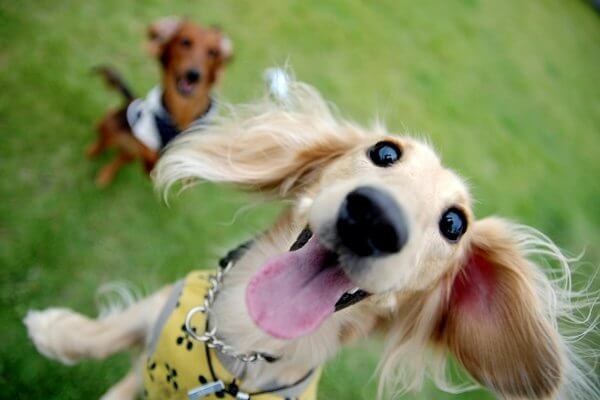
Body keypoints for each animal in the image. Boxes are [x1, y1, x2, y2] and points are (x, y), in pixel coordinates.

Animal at [22, 70, 596, 398]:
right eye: (384, 151)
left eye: (454, 223)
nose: (374, 217)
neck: (242, 347)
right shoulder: (164, 311)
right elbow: (112, 330)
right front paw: (59, 332)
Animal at [89, 17, 232, 188]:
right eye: (185, 42)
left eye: (212, 52)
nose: (193, 75)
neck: (183, 109)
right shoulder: (144, 135)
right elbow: (150, 156)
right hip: (113, 126)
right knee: (105, 137)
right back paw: (94, 154)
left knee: (121, 156)